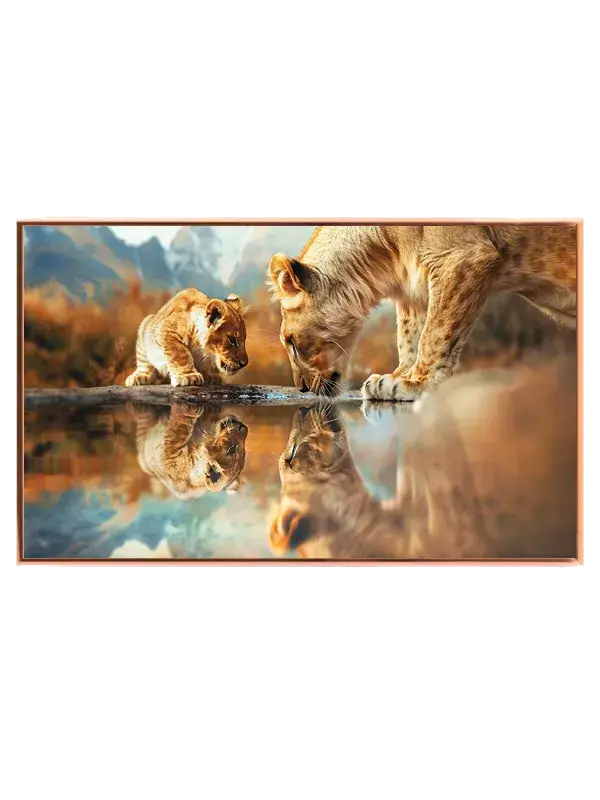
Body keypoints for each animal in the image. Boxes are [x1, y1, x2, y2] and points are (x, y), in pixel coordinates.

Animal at [266, 225, 577, 401]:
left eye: (291, 343)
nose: (301, 388)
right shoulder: (413, 290)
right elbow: (408, 336)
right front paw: (399, 375)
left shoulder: (461, 257)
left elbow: (435, 332)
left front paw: (415, 384)